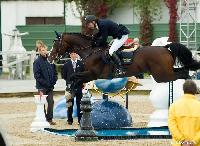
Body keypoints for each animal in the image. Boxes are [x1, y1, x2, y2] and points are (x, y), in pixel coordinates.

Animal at [47, 32, 200, 88]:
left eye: (56, 44)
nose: (49, 58)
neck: (90, 51)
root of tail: (165, 48)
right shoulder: (89, 76)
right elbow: (76, 77)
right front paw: (72, 88)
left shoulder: (92, 74)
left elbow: (74, 76)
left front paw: (70, 86)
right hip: (165, 72)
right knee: (183, 71)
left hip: (162, 75)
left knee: (183, 73)